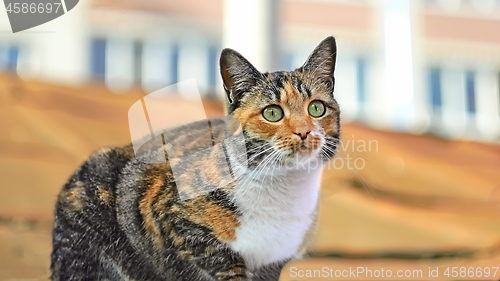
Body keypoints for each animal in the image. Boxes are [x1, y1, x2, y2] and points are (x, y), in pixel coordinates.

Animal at [49, 36, 340, 278]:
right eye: (272, 113)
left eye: (316, 108)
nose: (304, 131)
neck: (283, 192)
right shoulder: (177, 224)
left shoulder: (273, 264)